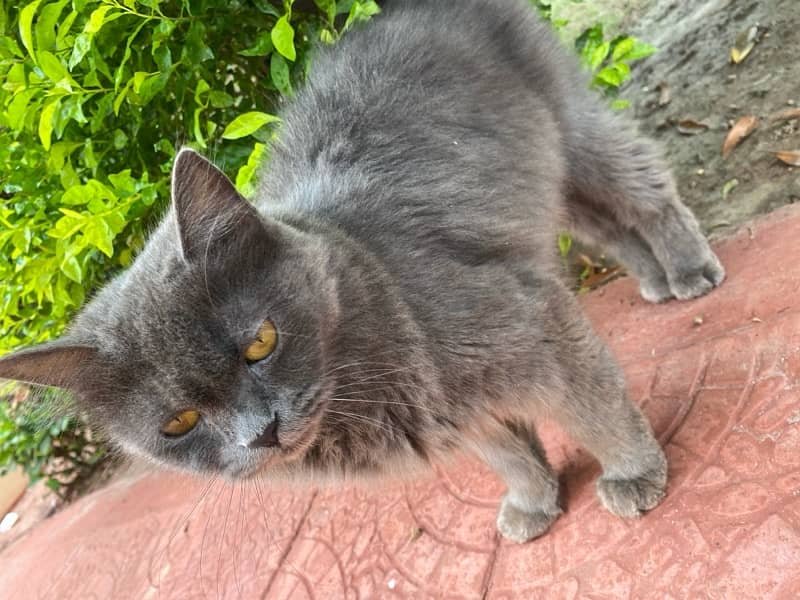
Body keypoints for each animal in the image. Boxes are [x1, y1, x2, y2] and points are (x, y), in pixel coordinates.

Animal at [0, 0, 724, 544]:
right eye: (178, 423)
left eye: (261, 342)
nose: (260, 432)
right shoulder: (459, 408)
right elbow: (508, 451)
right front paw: (534, 503)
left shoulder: (531, 323)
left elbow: (596, 410)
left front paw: (632, 475)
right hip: (541, 180)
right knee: (607, 225)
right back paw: (655, 282)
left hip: (573, 127)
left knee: (645, 191)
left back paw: (691, 270)